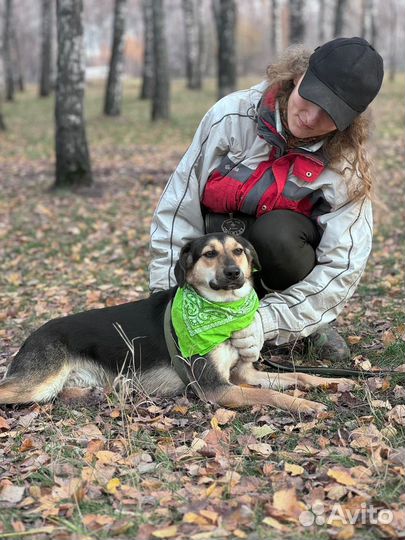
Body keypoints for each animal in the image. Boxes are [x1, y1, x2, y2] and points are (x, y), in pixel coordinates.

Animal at [0, 232, 354, 414]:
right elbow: (270, 396)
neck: (222, 313)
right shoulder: (218, 388)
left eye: (239, 251)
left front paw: (338, 382)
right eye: (209, 254)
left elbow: (299, 375)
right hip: (39, 382)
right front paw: (304, 404)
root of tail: (31, 337)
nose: (234, 274)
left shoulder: (244, 374)